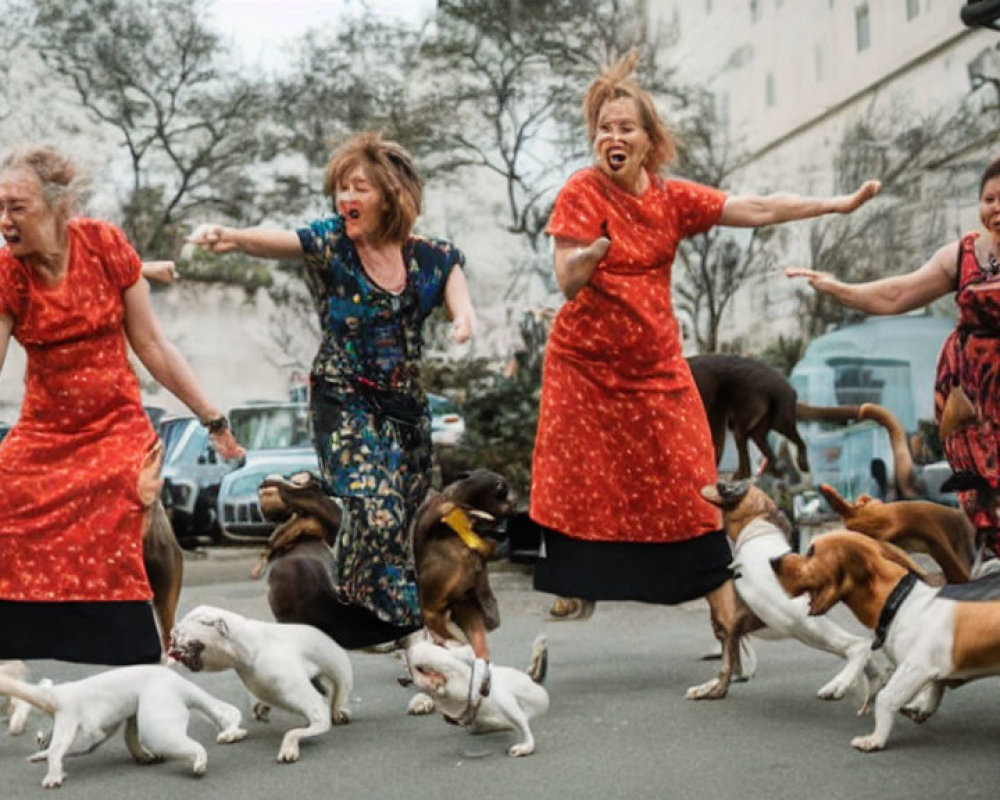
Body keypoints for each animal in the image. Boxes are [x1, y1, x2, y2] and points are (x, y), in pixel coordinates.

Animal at [0, 664, 246, 788]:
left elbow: (61, 749)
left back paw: (199, 760)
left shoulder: (71, 717)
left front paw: (52, 773)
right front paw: (42, 755)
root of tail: (180, 682)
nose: (40, 739)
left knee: (166, 739)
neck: (53, 697)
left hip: (159, 708)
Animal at [172, 608, 356, 764]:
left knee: (340, 691)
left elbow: (294, 732)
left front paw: (290, 745)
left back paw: (340, 711)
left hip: (338, 668)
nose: (172, 637)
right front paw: (232, 732)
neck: (246, 650)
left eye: (182, 632)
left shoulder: (315, 709)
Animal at [772, 532, 1000, 752]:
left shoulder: (915, 668)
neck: (898, 602)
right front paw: (923, 707)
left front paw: (875, 739)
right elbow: (935, 688)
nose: (773, 560)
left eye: (811, 552)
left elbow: (884, 698)